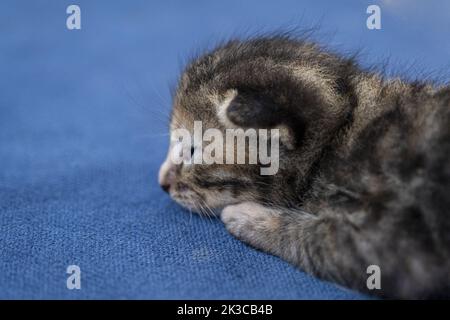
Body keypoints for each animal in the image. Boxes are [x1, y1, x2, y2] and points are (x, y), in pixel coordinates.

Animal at [159, 36, 450, 298]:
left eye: (192, 151)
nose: (162, 183)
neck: (337, 137)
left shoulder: (393, 244)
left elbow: (316, 241)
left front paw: (248, 217)